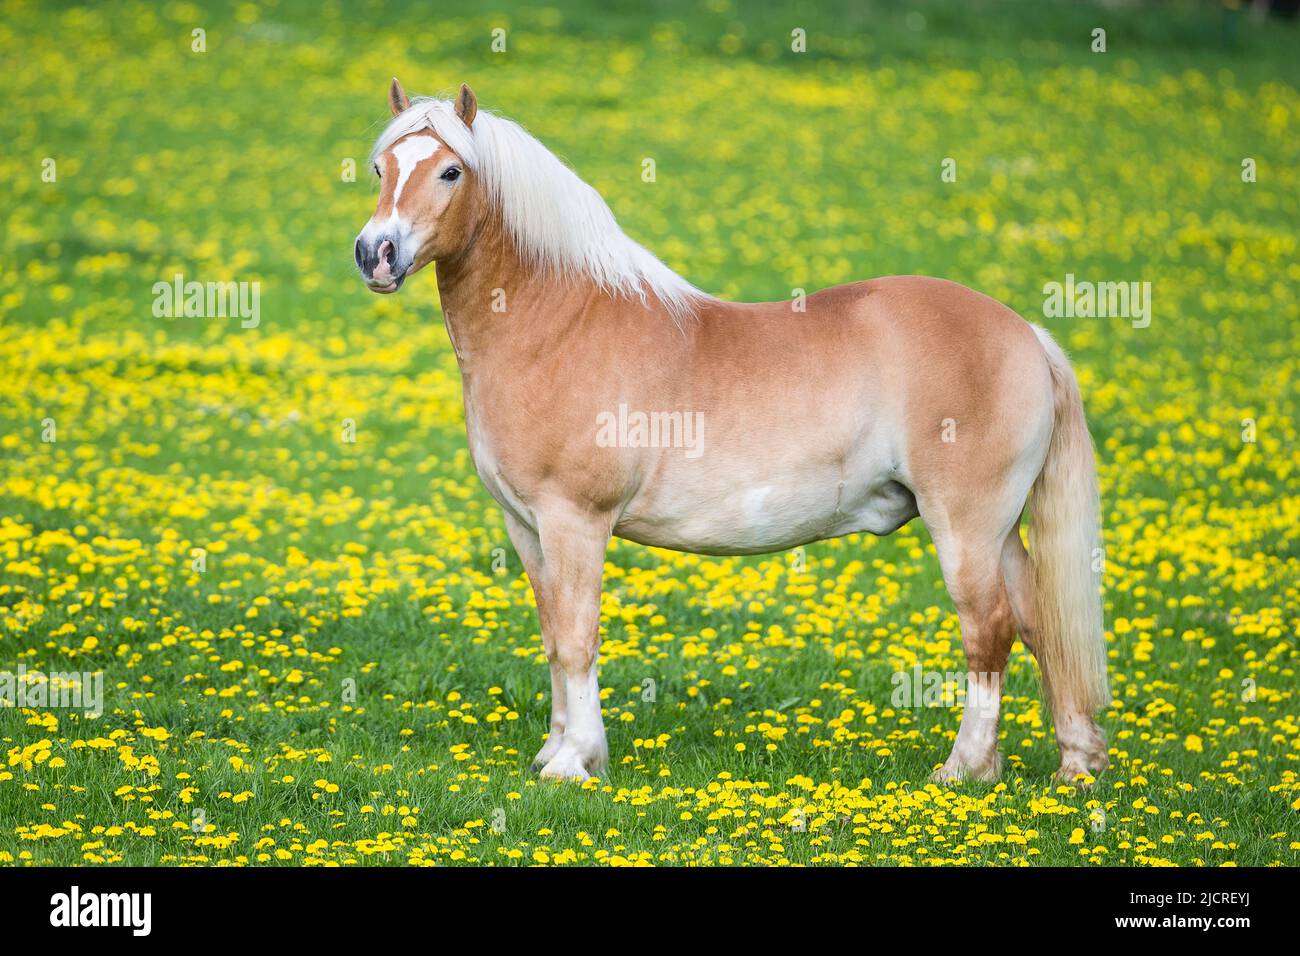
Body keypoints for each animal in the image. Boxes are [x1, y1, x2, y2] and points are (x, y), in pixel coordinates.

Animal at [354, 80, 1110, 784]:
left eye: (451, 171)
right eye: (380, 166)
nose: (376, 253)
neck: (560, 322)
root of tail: (1025, 333)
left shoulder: (576, 520)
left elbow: (576, 638)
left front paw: (574, 761)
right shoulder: (526, 525)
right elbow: (551, 635)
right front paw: (555, 750)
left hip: (966, 525)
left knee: (989, 631)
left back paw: (964, 769)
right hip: (1000, 529)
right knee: (1040, 622)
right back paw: (1075, 765)